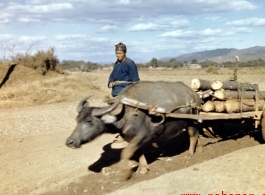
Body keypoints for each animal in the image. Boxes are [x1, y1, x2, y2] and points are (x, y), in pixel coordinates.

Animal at [65, 80, 200, 180]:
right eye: (77, 120)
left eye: (89, 120)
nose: (69, 142)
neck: (126, 114)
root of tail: (193, 94)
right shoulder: (134, 138)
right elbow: (138, 151)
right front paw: (143, 168)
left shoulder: (143, 136)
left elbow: (125, 152)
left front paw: (126, 173)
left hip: (191, 120)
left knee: (193, 134)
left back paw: (189, 154)